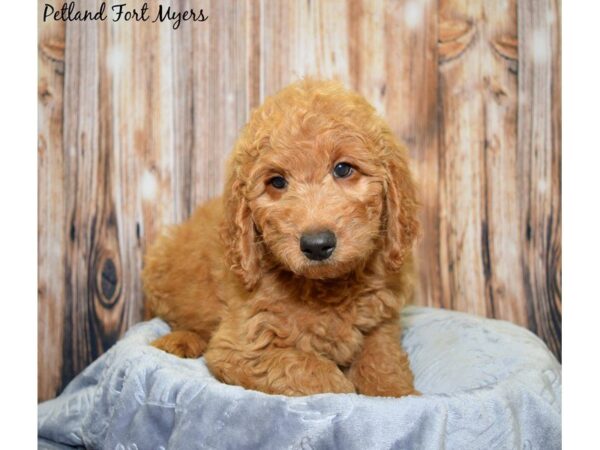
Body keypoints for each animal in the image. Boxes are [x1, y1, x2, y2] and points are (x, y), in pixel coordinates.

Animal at [143, 79, 420, 396]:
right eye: (277, 182)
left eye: (343, 169)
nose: (316, 245)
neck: (327, 288)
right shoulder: (243, 346)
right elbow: (318, 374)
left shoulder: (382, 323)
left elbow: (383, 362)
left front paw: (399, 393)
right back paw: (179, 340)